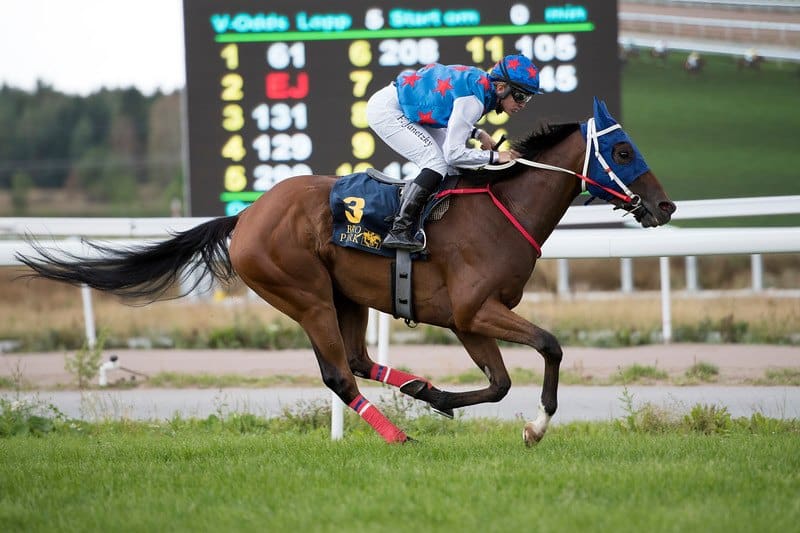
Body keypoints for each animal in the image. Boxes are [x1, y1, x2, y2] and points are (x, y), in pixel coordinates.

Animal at [15, 98, 676, 444]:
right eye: (622, 152)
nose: (665, 206)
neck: (500, 210)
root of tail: (246, 214)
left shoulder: (468, 320)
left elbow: (499, 382)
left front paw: (439, 396)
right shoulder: (474, 310)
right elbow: (550, 347)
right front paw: (535, 427)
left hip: (347, 296)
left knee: (356, 360)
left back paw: (413, 389)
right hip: (304, 294)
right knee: (338, 374)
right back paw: (396, 435)